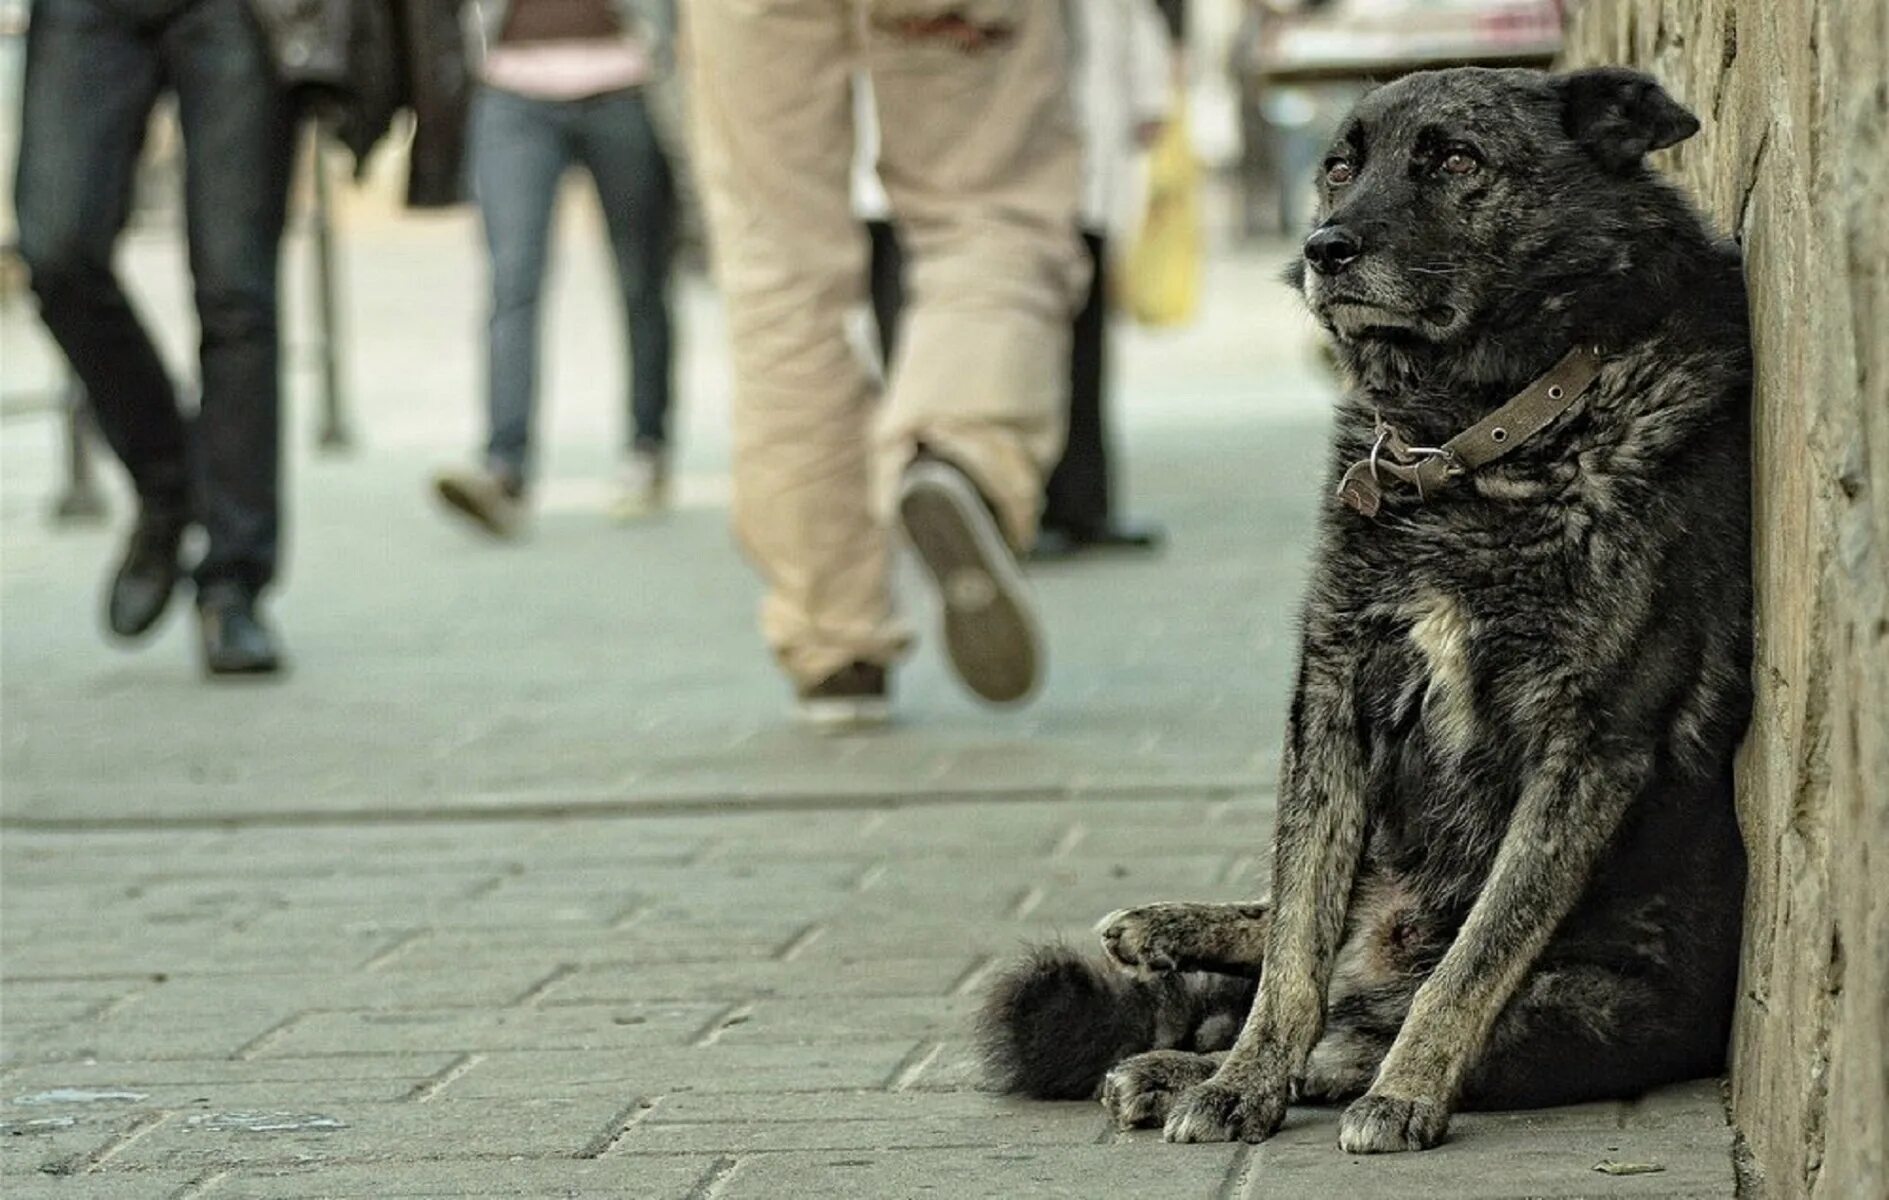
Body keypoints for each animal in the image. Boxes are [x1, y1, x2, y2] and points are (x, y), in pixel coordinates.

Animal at [982, 65, 1745, 1156]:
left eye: (1455, 160)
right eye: (1340, 165)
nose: (1323, 249)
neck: (1472, 435)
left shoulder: (1589, 748)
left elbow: (1475, 956)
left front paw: (1406, 1090)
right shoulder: (1331, 697)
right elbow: (1296, 935)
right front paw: (1243, 1081)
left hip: (1593, 1002)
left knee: (1366, 1025)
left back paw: (1202, 1057)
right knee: (1295, 937)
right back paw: (1170, 966)